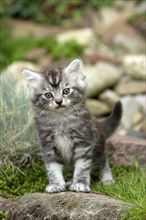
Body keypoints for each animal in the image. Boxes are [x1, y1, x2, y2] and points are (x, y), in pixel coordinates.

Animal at [22, 59, 122, 193]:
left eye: (66, 91)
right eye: (48, 95)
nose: (59, 101)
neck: (61, 120)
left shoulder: (84, 144)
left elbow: (82, 167)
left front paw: (80, 183)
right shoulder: (48, 147)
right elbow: (52, 168)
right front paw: (56, 184)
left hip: (98, 149)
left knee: (102, 163)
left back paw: (107, 179)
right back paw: (69, 181)